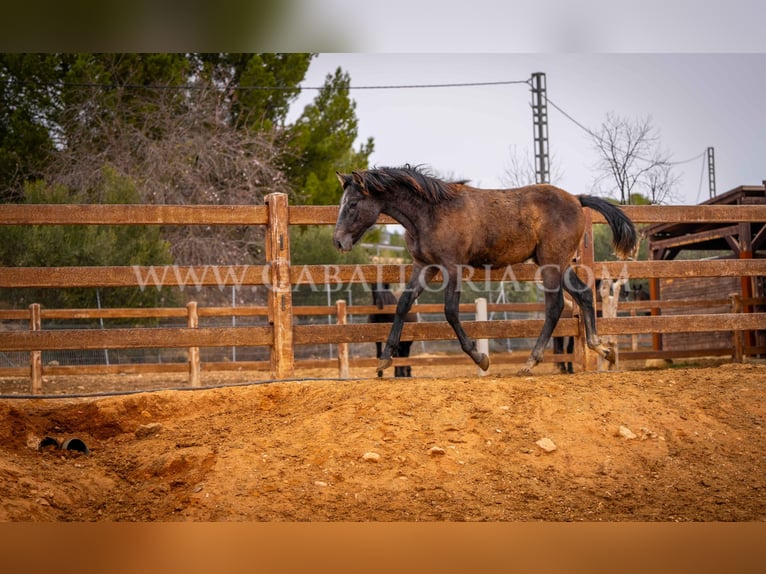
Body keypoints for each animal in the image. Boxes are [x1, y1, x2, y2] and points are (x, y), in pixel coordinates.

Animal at [332, 164, 640, 378]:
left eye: (353, 204)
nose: (338, 241)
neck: (430, 213)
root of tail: (577, 199)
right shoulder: (424, 266)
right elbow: (403, 304)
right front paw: (384, 358)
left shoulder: (452, 268)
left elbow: (450, 311)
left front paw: (480, 358)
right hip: (557, 264)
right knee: (583, 296)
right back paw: (603, 349)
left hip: (552, 264)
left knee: (555, 306)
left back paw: (530, 362)